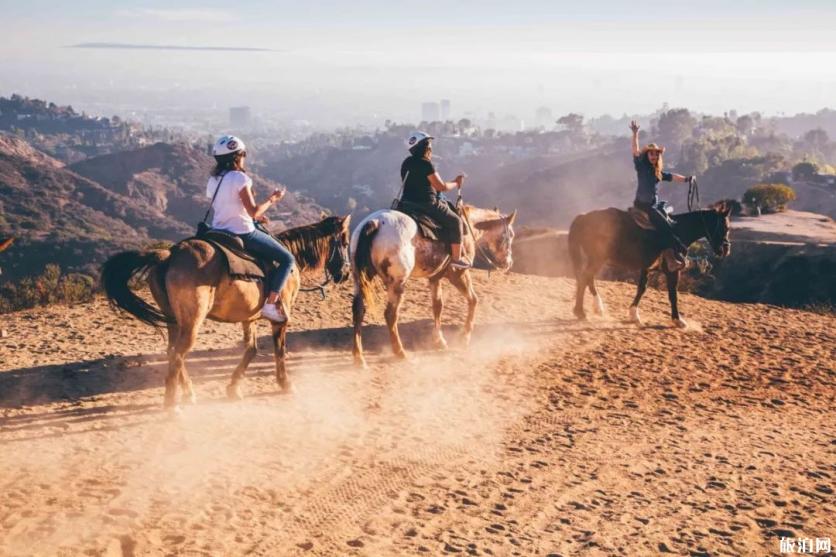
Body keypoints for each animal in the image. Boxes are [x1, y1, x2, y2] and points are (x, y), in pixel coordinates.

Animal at [100, 216, 350, 408]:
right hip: (192, 321)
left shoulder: (249, 318)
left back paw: (188, 393)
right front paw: (286, 384)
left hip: (174, 321)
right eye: (346, 242)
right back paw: (173, 407)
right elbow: (280, 350)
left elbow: (251, 350)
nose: (346, 273)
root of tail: (169, 255)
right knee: (178, 354)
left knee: (173, 353)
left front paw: (233, 388)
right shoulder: (280, 319)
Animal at [348, 202, 516, 368]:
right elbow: (473, 300)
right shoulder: (458, 274)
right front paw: (464, 338)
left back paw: (359, 358)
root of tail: (375, 223)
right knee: (390, 315)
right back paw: (400, 352)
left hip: (360, 279)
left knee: (358, 311)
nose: (508, 263)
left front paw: (439, 340)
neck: (468, 227)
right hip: (397, 284)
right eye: (510, 235)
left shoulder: (435, 278)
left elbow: (437, 306)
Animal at [568, 202, 732, 326]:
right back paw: (581, 312)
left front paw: (634, 314)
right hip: (597, 258)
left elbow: (642, 288)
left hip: (595, 258)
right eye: (724, 227)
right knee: (585, 278)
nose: (725, 249)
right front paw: (677, 320)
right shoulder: (673, 271)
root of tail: (583, 217)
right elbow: (673, 294)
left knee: (588, 279)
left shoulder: (646, 267)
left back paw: (596, 308)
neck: (679, 230)